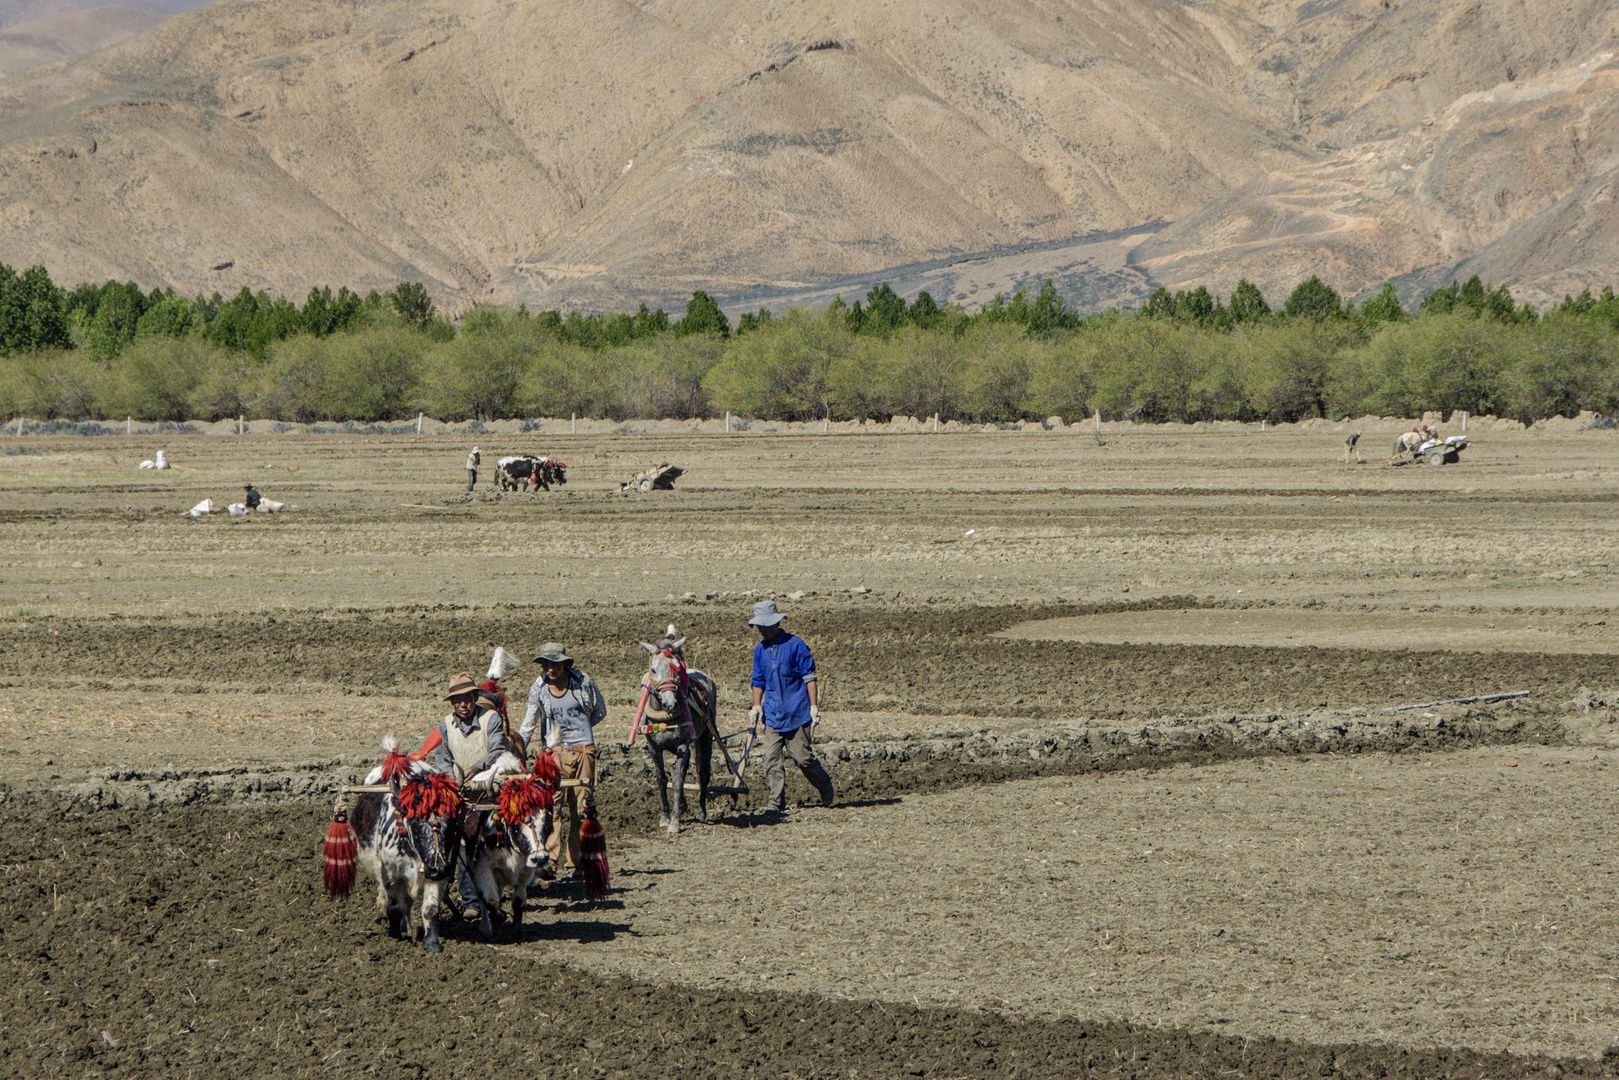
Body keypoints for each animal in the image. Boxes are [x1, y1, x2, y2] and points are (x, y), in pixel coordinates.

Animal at [637, 625, 715, 835]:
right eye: (653, 669)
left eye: (676, 668)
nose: (670, 704)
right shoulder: (654, 748)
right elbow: (662, 780)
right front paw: (665, 817)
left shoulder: (682, 745)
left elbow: (678, 782)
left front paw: (675, 822)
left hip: (706, 736)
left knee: (703, 773)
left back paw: (701, 812)